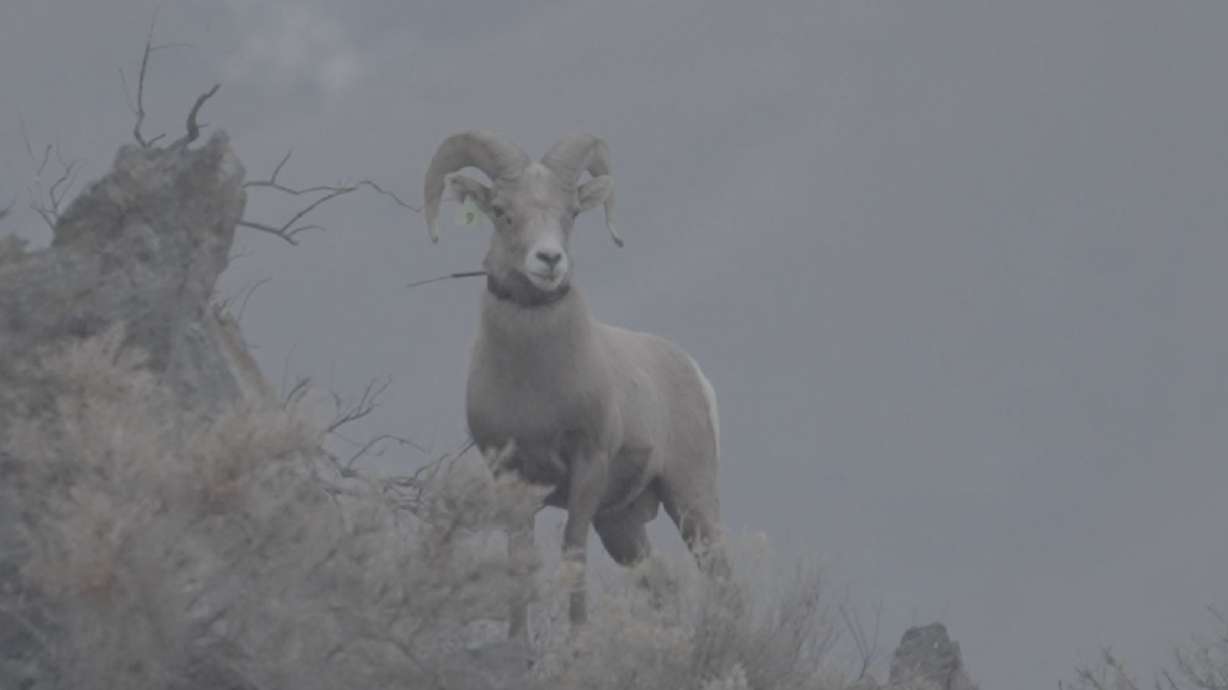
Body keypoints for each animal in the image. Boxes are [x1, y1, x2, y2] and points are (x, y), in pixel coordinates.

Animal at [422, 130, 728, 640]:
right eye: (502, 211)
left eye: (570, 214)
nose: (549, 260)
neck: (533, 383)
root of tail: (690, 370)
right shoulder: (510, 476)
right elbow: (520, 560)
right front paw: (517, 640)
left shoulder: (587, 466)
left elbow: (572, 554)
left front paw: (577, 639)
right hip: (621, 524)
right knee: (659, 584)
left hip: (691, 498)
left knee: (722, 576)